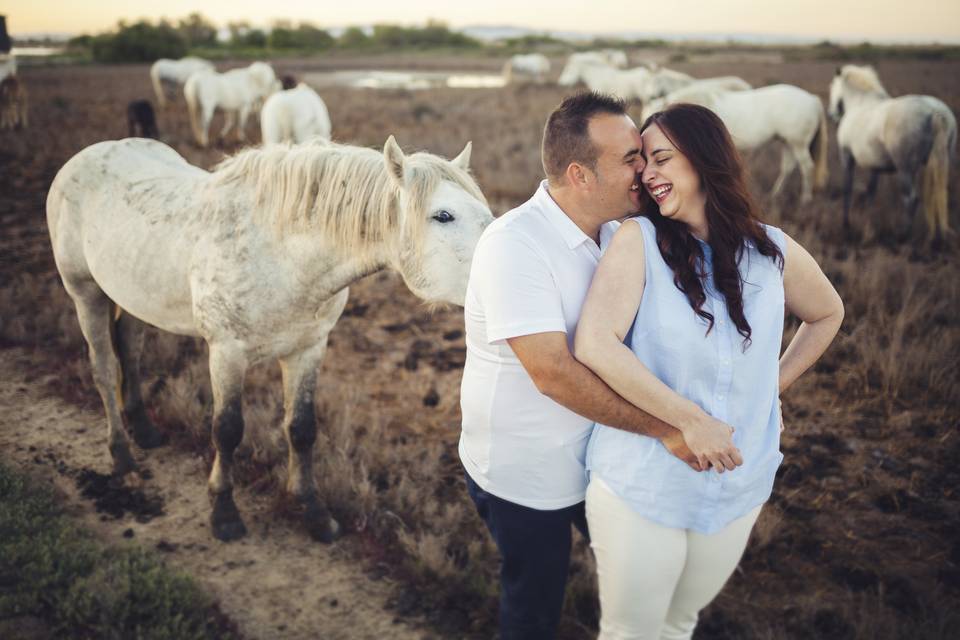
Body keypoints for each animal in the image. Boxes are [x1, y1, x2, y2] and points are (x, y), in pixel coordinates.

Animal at [47, 135, 496, 540]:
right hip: (84, 292)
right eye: (443, 216)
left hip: (132, 294)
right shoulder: (226, 353)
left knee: (130, 350)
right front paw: (224, 512)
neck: (282, 256)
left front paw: (313, 511)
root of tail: (83, 156)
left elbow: (301, 427)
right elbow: (227, 429)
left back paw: (143, 430)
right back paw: (122, 455)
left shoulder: (307, 349)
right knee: (104, 369)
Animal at [648, 82, 828, 201]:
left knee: (807, 167)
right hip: (788, 142)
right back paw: (774, 194)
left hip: (798, 144)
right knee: (788, 167)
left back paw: (805, 199)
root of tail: (813, 99)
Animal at [828, 65, 956, 240]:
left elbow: (847, 189)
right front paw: (868, 222)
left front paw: (846, 224)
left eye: (832, 87)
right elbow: (871, 191)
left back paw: (903, 235)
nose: (831, 115)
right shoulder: (874, 166)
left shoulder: (846, 157)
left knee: (911, 199)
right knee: (937, 195)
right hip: (939, 164)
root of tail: (934, 112)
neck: (860, 103)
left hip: (905, 169)